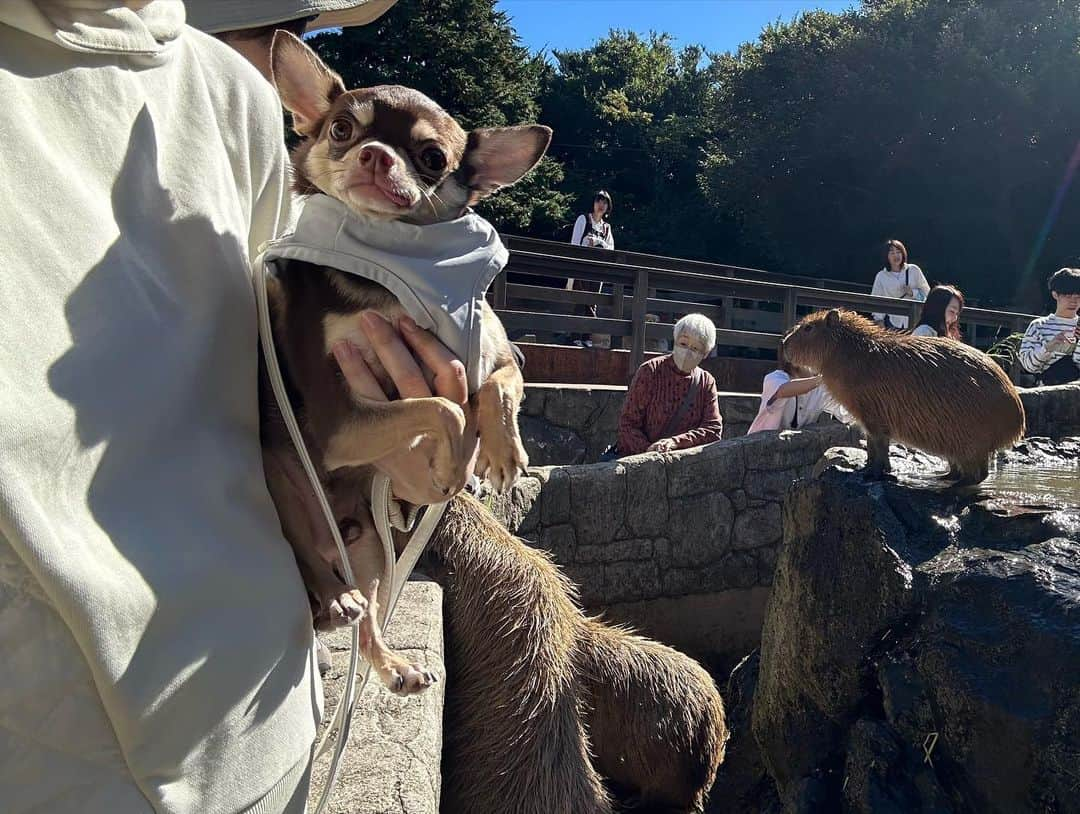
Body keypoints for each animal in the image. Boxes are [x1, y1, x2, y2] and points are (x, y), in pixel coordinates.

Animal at [258, 31, 552, 690]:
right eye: (341, 129)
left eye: (432, 157)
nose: (373, 155)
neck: (396, 270)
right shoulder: (338, 420)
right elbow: (445, 406)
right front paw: (452, 463)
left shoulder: (496, 351)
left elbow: (493, 389)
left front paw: (500, 453)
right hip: (286, 486)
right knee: (311, 564)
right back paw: (332, 597)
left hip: (369, 547)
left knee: (370, 613)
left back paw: (394, 667)